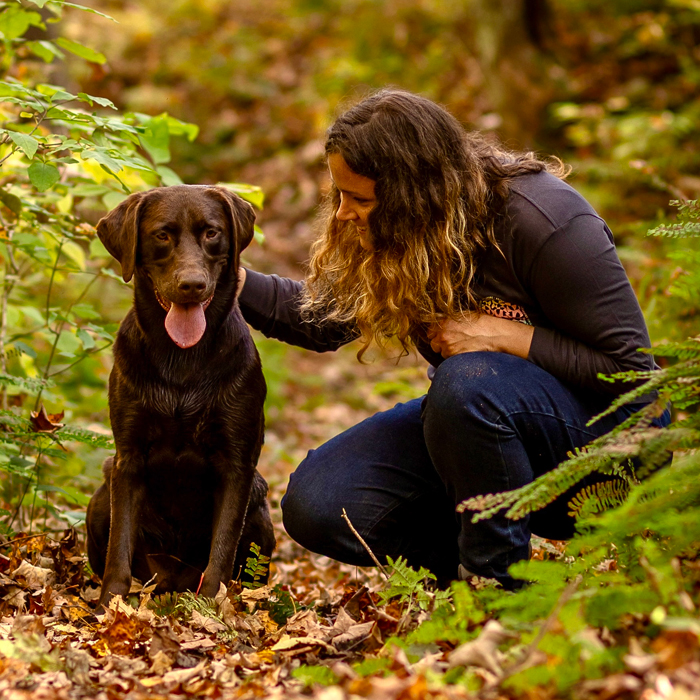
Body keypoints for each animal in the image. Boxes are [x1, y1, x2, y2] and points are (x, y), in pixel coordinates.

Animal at [85, 185, 274, 608]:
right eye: (162, 235)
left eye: (211, 233)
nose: (192, 285)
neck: (182, 359)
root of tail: (170, 581)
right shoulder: (128, 458)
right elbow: (119, 549)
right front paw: (109, 606)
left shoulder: (237, 465)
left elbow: (221, 550)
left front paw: (211, 609)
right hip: (102, 492)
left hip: (259, 504)